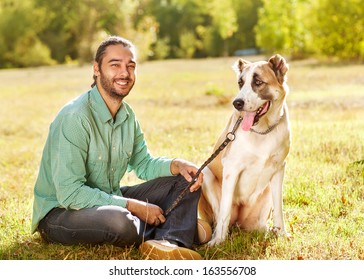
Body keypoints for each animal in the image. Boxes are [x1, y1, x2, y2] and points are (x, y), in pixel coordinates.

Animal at [198, 54, 292, 245]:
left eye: (258, 82)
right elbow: (224, 210)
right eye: (240, 83)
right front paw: (218, 241)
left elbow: (279, 207)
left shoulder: (279, 169)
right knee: (220, 216)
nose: (237, 103)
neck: (263, 132)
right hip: (205, 173)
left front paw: (281, 234)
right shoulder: (231, 169)